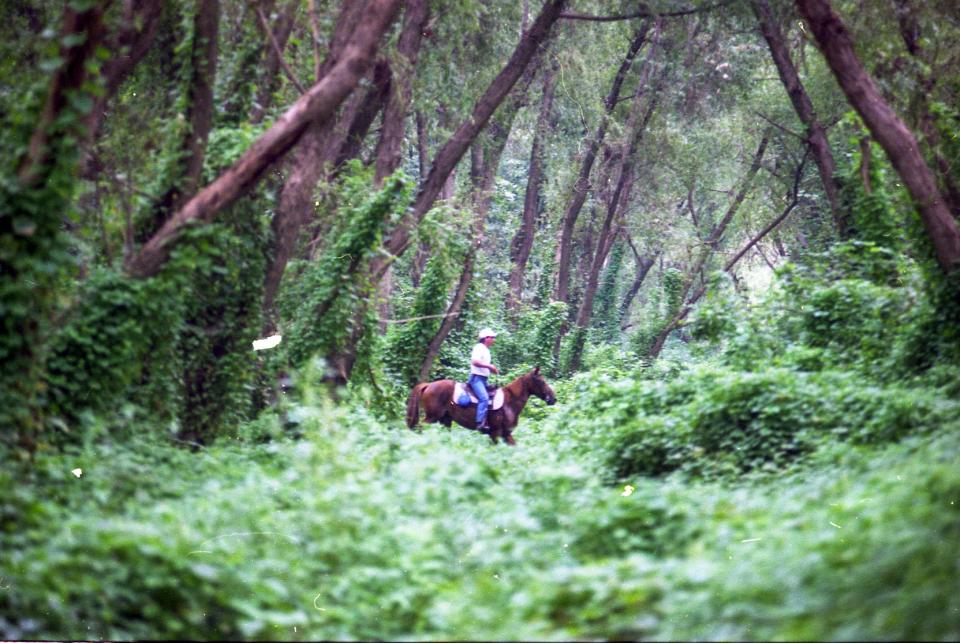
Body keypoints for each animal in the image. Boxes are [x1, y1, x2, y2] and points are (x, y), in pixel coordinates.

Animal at [404, 370, 556, 446]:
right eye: (542, 381)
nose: (553, 398)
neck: (510, 401)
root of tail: (428, 385)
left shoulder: (506, 434)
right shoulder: (495, 433)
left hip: (445, 420)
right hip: (432, 417)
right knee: (419, 427)